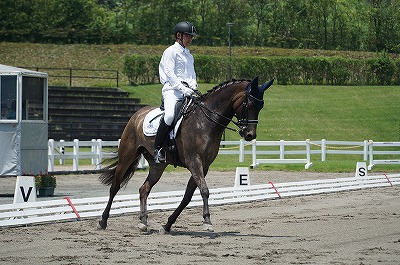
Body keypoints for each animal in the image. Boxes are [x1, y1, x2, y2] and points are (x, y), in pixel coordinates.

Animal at [97, 76, 272, 233]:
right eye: (249, 104)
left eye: (261, 106)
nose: (250, 135)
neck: (205, 122)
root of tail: (137, 114)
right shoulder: (194, 162)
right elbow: (204, 190)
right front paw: (207, 222)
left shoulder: (204, 166)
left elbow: (187, 196)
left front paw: (167, 225)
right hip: (127, 155)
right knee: (115, 187)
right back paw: (103, 221)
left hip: (158, 165)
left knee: (144, 189)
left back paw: (143, 222)